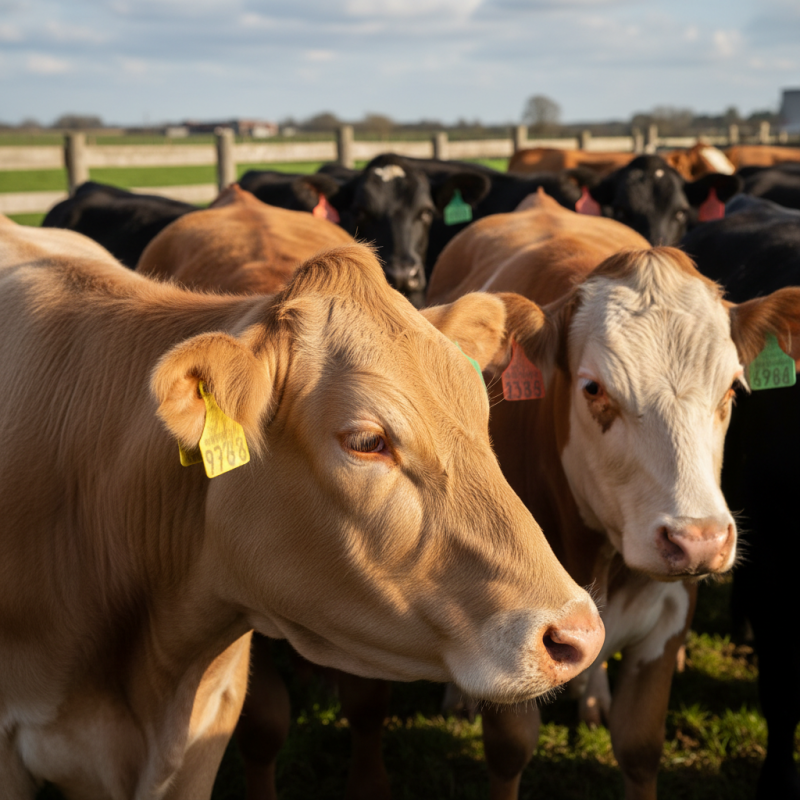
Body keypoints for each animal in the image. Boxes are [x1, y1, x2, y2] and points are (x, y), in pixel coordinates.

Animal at [423, 189, 800, 799]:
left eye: (732, 388)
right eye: (594, 388)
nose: (699, 541)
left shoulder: (670, 618)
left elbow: (639, 746)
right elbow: (510, 749)